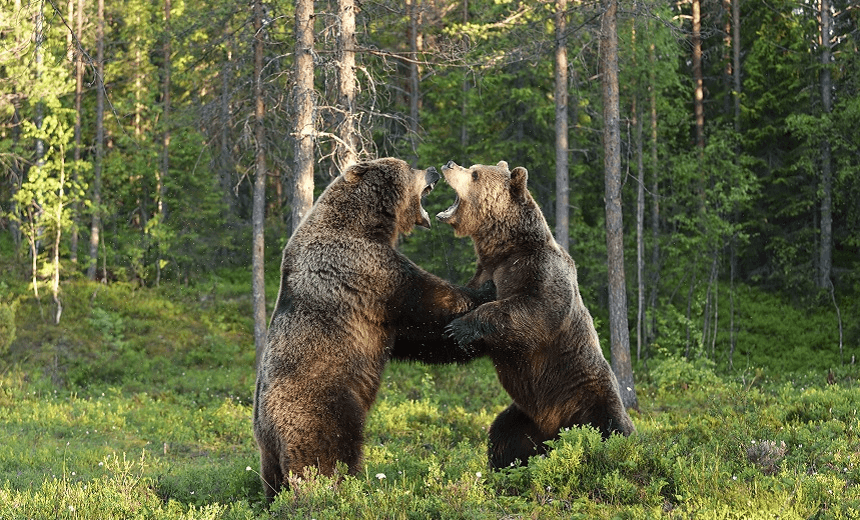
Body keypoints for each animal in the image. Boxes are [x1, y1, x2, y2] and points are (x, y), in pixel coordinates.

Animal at [253, 157, 494, 501]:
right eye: (409, 167)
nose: (433, 169)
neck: (366, 222)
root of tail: (267, 428)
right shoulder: (367, 269)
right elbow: (427, 301)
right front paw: (485, 291)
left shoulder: (384, 313)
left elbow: (421, 336)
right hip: (322, 405)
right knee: (325, 455)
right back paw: (334, 492)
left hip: (269, 455)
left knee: (274, 481)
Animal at [436, 160, 635, 470]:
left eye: (475, 173)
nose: (449, 164)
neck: (503, 249)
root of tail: (553, 430)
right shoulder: (485, 273)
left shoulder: (539, 270)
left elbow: (536, 310)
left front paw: (461, 326)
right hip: (524, 417)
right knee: (502, 434)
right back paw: (502, 468)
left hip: (589, 398)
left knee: (611, 428)